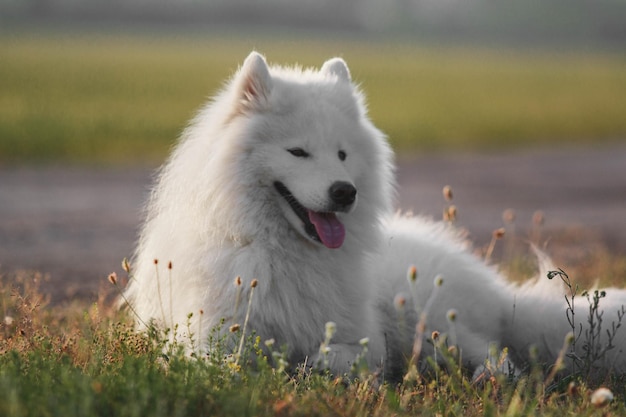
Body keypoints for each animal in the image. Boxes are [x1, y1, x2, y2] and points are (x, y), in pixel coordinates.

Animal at [124, 52, 624, 380]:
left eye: (343, 154)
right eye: (298, 152)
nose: (345, 192)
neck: (281, 249)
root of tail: (499, 292)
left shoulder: (365, 338)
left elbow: (348, 355)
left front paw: (315, 363)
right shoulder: (207, 339)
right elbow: (234, 358)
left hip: (428, 318)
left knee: (500, 356)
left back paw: (486, 377)